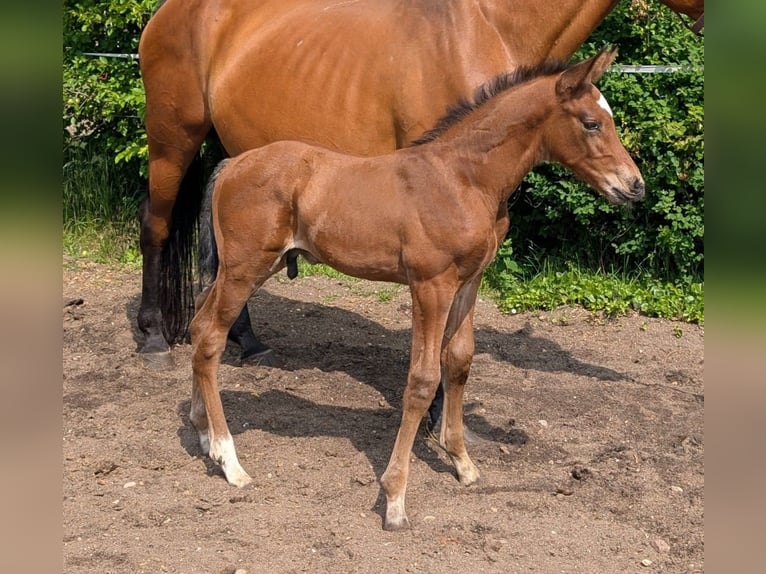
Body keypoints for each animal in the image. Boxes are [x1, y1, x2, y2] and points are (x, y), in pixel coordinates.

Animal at [137, 0, 704, 372]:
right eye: (591, 123)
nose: (635, 186)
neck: (491, 26)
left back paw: (248, 340)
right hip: (171, 143)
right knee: (156, 226)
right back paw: (153, 336)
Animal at [189, 48, 644, 531]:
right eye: (591, 123)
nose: (634, 185)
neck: (463, 178)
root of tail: (232, 165)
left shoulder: (468, 282)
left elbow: (459, 361)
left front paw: (462, 463)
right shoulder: (431, 285)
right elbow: (423, 379)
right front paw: (394, 498)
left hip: (252, 267)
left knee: (198, 323)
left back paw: (201, 433)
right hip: (245, 267)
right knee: (210, 338)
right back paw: (229, 460)